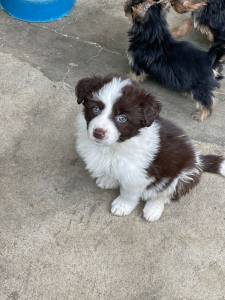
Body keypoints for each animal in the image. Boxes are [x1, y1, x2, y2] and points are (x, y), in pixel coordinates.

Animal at [74, 74, 224, 220]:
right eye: (95, 109)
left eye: (122, 118)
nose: (98, 133)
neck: (115, 145)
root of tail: (198, 159)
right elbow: (112, 170)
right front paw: (109, 179)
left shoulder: (137, 174)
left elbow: (128, 192)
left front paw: (123, 205)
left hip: (183, 177)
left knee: (165, 194)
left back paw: (153, 209)